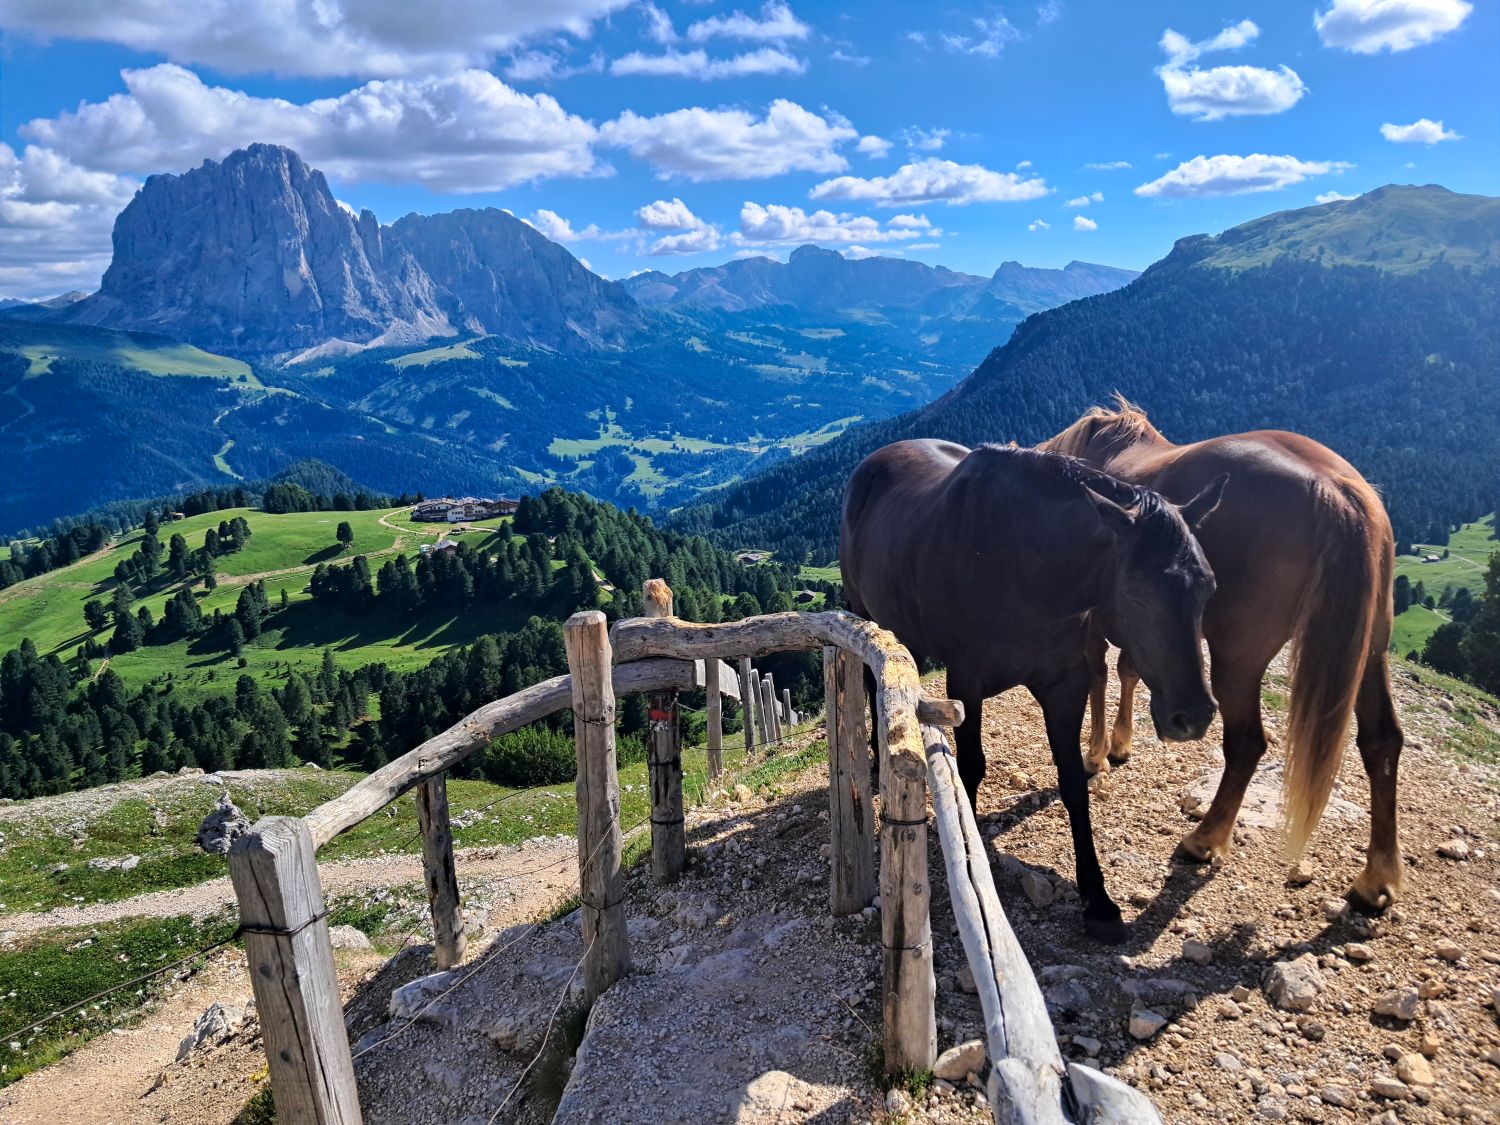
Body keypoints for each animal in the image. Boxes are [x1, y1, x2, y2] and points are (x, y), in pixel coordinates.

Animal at [840, 439, 1225, 942]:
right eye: (1136, 593)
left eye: (1208, 587)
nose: (1192, 716)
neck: (1022, 566)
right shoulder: (967, 683)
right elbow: (971, 770)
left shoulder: (1065, 685)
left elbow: (1074, 780)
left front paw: (1098, 900)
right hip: (864, 610)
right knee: (872, 681)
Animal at [1040, 399, 1403, 910]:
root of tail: (1336, 486)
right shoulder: (1148, 629)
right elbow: (1131, 671)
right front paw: (1120, 744)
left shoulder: (1099, 619)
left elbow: (1099, 674)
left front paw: (1095, 754)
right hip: (1372, 651)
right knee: (1382, 741)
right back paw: (1378, 878)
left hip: (1239, 655)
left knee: (1248, 742)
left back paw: (1205, 839)